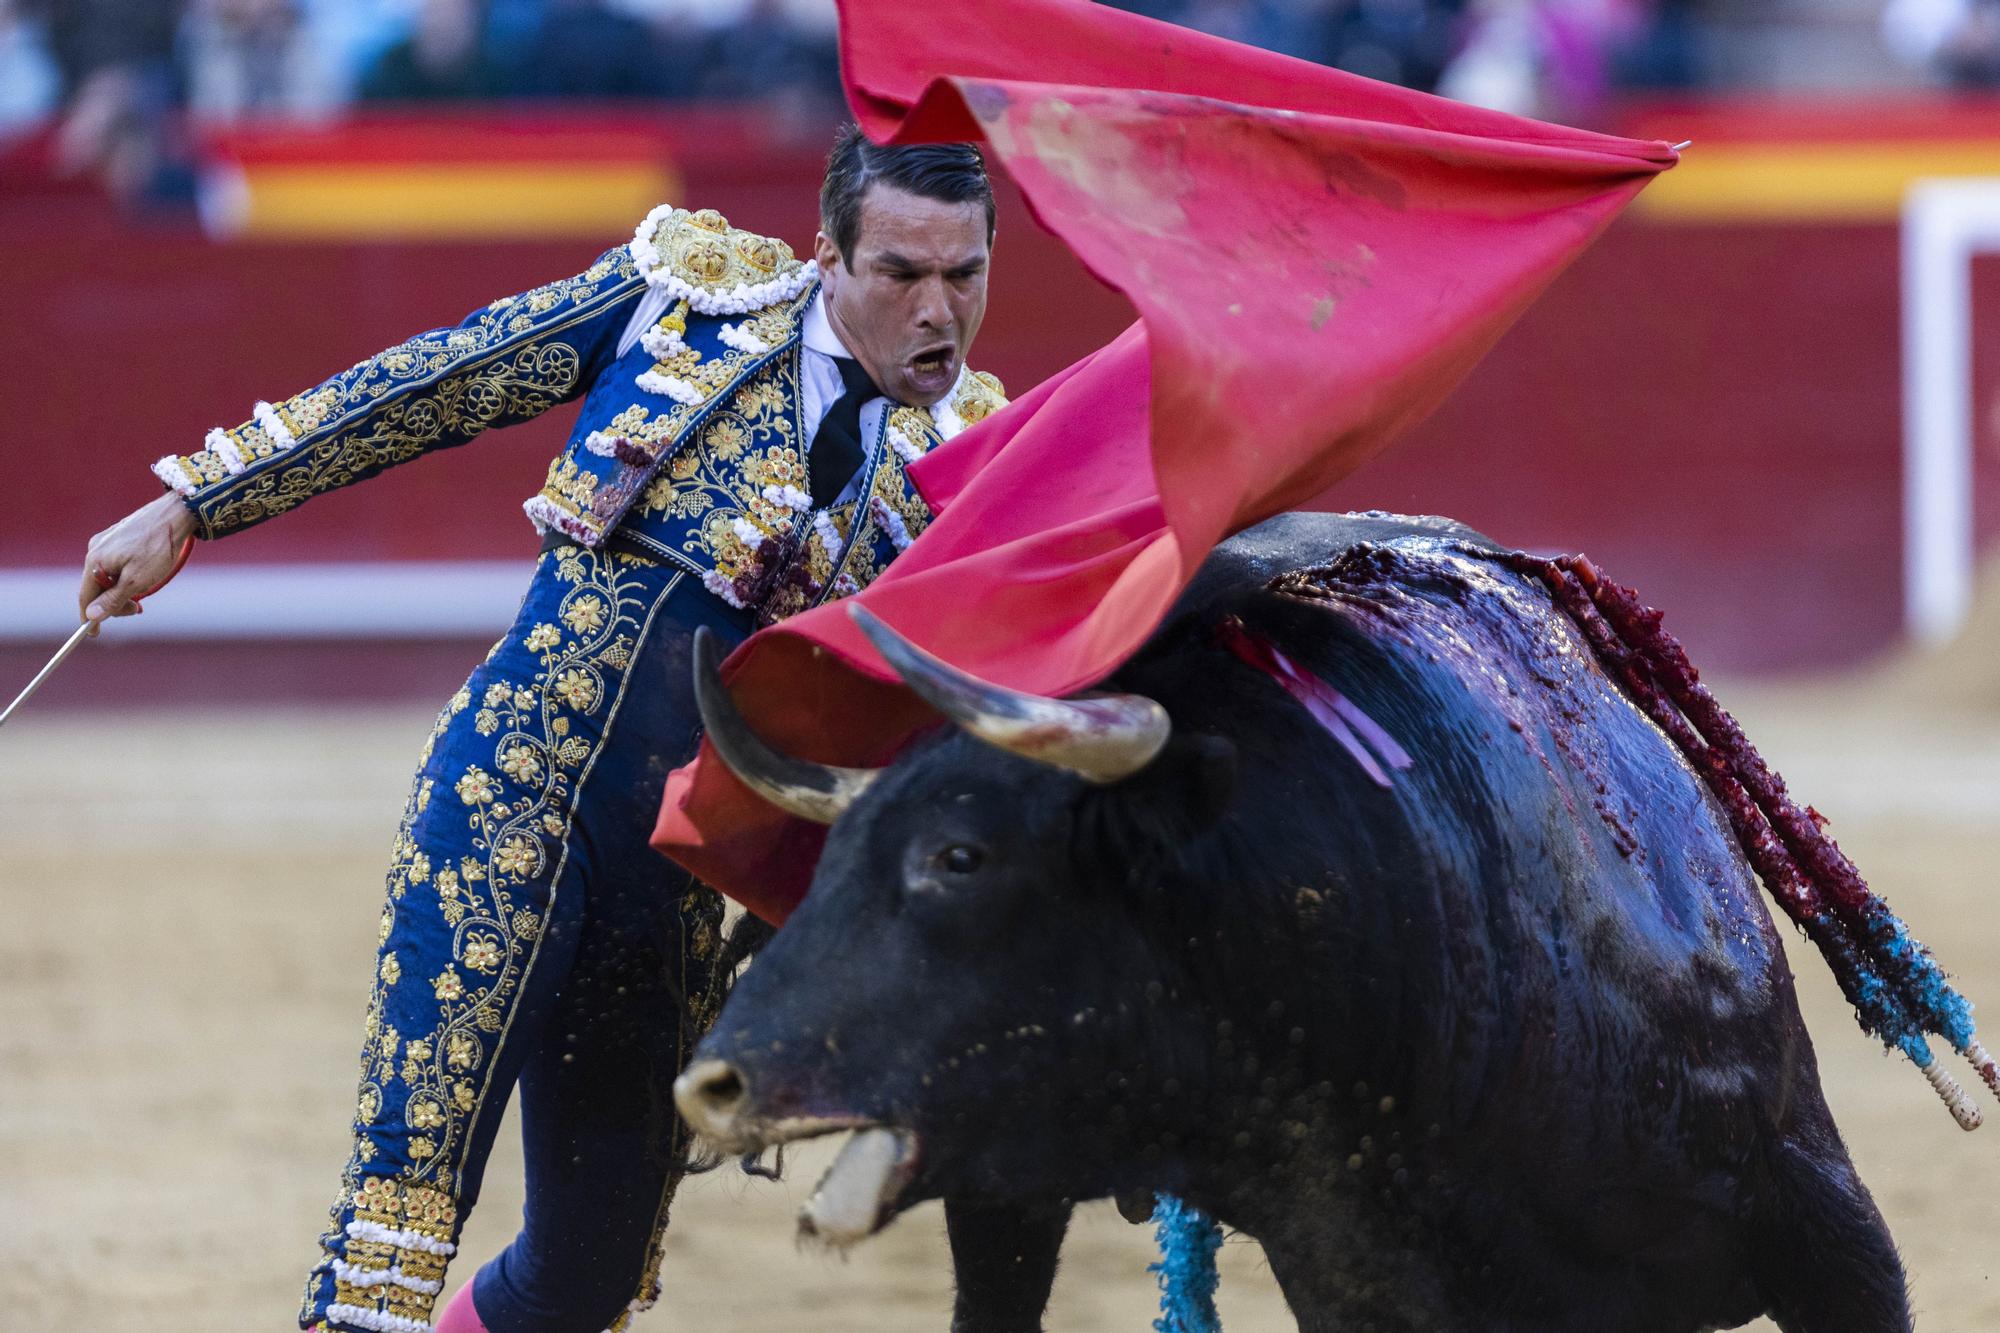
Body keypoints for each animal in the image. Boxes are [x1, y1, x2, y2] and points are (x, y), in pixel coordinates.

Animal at [680, 510, 1912, 1328]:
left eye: (959, 856)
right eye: (829, 859)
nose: (715, 1082)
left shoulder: (1826, 1214)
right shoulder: (1370, 1289)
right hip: (1002, 1184)